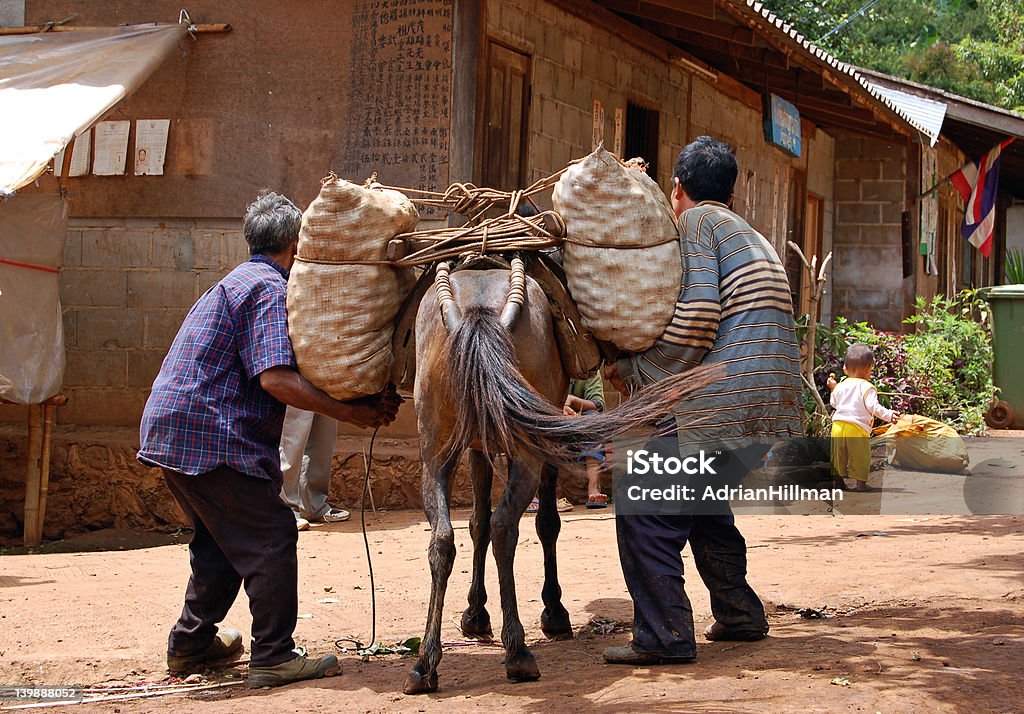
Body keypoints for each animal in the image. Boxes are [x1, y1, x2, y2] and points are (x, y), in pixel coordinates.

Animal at [403, 255, 708, 692]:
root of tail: (476, 311)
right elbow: (542, 522)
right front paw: (551, 612)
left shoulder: (478, 445)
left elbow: (477, 523)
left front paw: (476, 615)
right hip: (524, 450)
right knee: (503, 528)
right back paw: (517, 653)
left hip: (436, 455)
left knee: (446, 538)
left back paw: (425, 663)